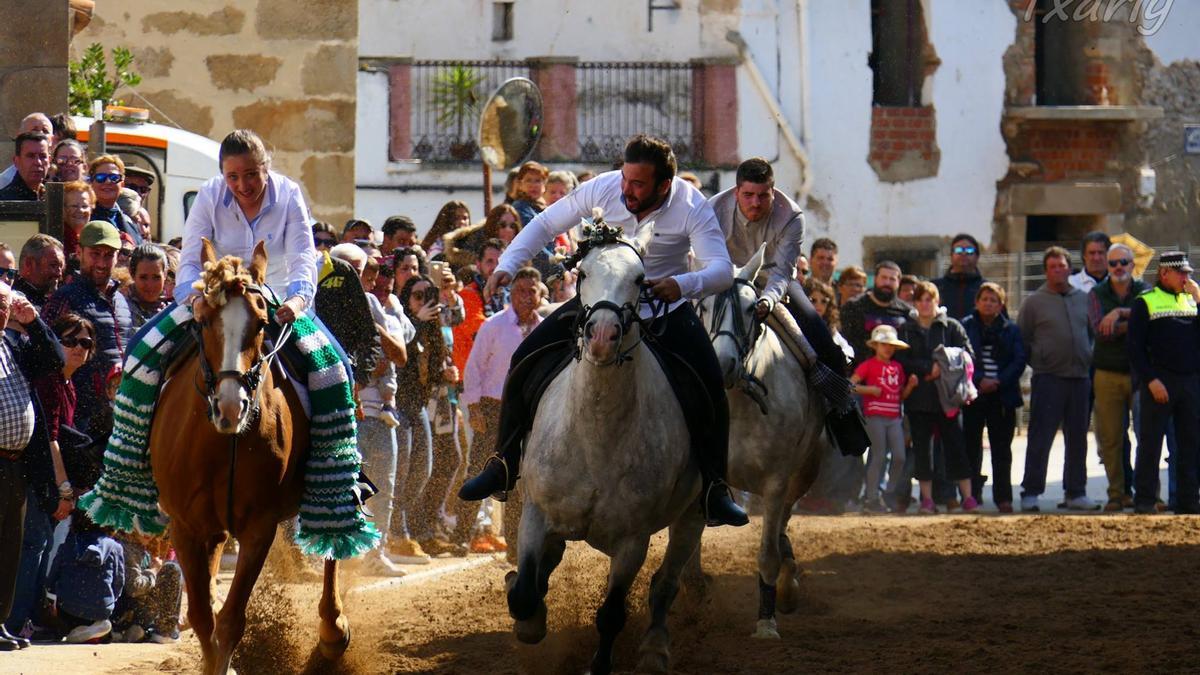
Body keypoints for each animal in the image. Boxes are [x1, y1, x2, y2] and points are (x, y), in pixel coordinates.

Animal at [150, 239, 348, 667]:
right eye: (205, 321)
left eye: (260, 323)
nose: (231, 406)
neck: (223, 444)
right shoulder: (185, 526)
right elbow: (203, 618)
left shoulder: (259, 526)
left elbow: (229, 622)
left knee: (332, 534)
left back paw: (333, 630)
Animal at [504, 220, 705, 672]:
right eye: (582, 273)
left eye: (641, 279)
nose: (600, 337)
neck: (596, 437)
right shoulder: (535, 513)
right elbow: (525, 593)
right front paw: (529, 619)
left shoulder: (633, 539)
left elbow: (612, 613)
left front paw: (600, 663)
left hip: (693, 516)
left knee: (666, 583)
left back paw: (654, 648)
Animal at [696, 241, 825, 634]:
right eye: (703, 305)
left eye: (753, 309)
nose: (722, 364)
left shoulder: (775, 481)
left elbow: (768, 553)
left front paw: (766, 621)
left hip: (804, 472)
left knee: (782, 524)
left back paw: (787, 584)